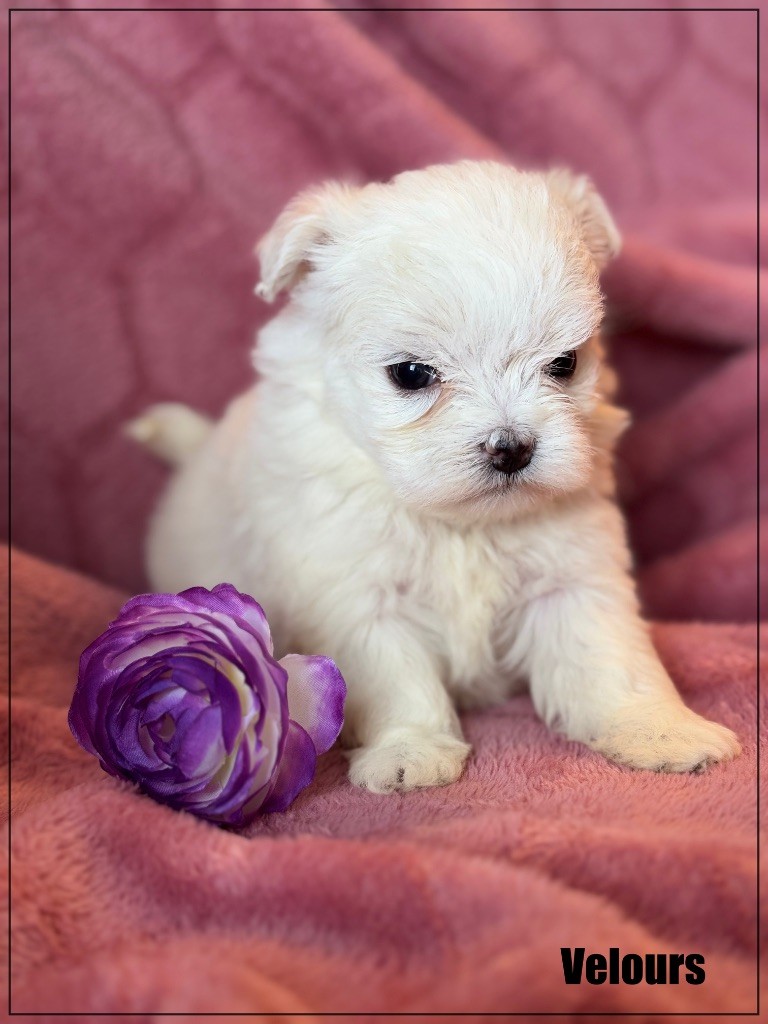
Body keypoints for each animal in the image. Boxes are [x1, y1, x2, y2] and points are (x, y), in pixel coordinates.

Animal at [134, 161, 745, 790]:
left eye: (565, 363)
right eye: (410, 374)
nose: (512, 448)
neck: (460, 523)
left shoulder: (572, 575)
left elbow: (608, 657)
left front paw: (661, 733)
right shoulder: (356, 596)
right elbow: (394, 678)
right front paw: (409, 752)